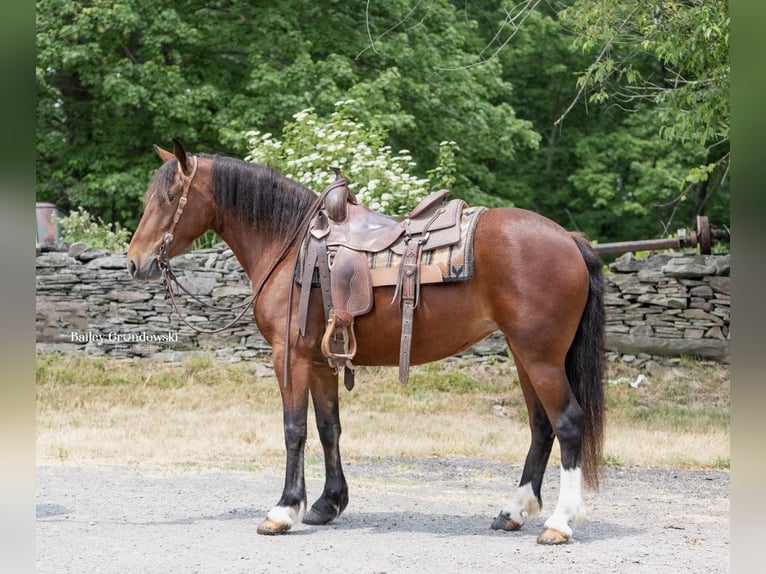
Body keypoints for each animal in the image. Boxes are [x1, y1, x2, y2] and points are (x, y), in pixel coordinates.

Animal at [127, 142, 608, 548]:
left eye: (169, 198)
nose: (134, 262)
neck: (290, 247)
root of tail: (569, 240)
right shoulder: (320, 362)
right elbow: (329, 429)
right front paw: (326, 504)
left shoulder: (290, 356)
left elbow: (294, 430)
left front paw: (283, 511)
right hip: (525, 355)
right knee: (541, 426)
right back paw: (514, 511)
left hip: (540, 357)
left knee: (567, 422)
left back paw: (560, 523)